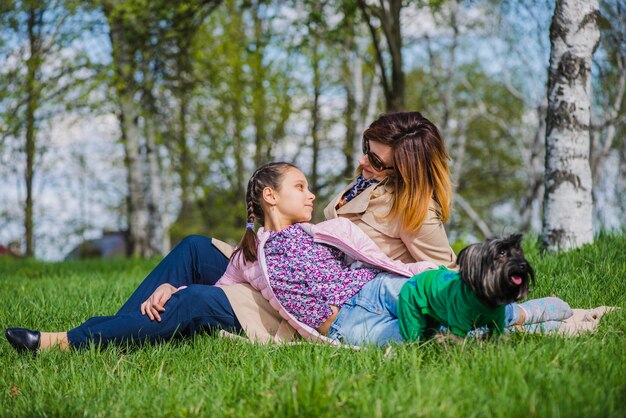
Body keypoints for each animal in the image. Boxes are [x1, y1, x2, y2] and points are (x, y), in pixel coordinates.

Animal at [394, 233, 532, 342]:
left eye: (518, 251)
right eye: (502, 252)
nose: (524, 264)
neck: (485, 299)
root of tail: (414, 278)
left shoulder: (497, 322)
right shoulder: (458, 323)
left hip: (432, 319)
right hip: (411, 315)